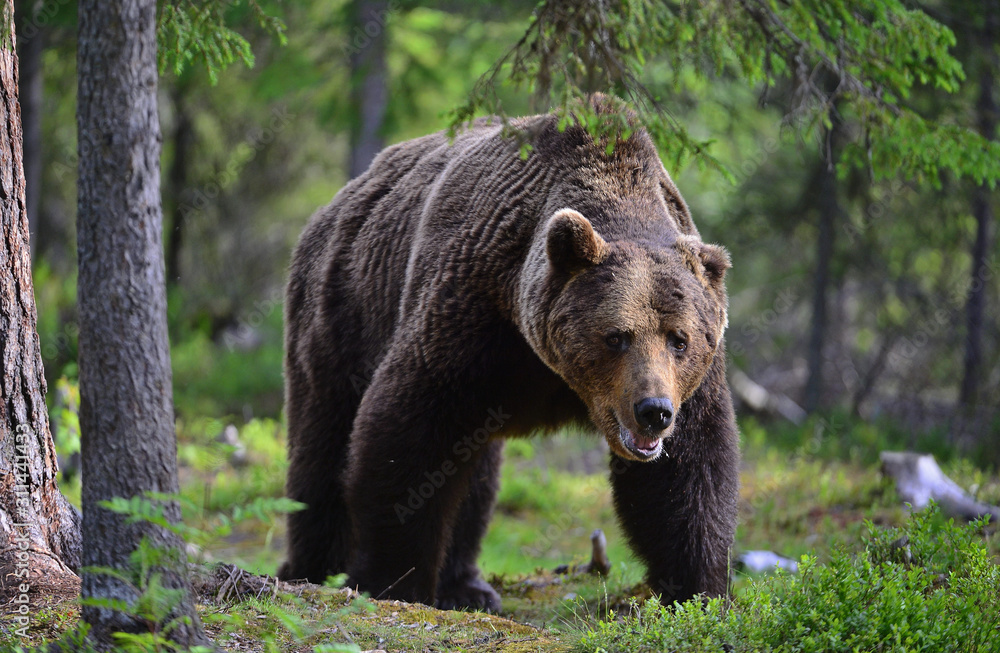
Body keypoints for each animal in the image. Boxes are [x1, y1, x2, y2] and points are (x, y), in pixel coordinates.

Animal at [278, 98, 740, 612]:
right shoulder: (471, 315)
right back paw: (312, 568)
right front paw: (390, 580)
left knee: (476, 474)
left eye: (680, 339)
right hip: (342, 310)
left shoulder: (691, 384)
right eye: (616, 336)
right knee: (322, 440)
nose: (653, 411)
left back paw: (467, 586)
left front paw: (700, 590)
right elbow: (407, 438)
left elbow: (688, 474)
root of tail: (334, 203)